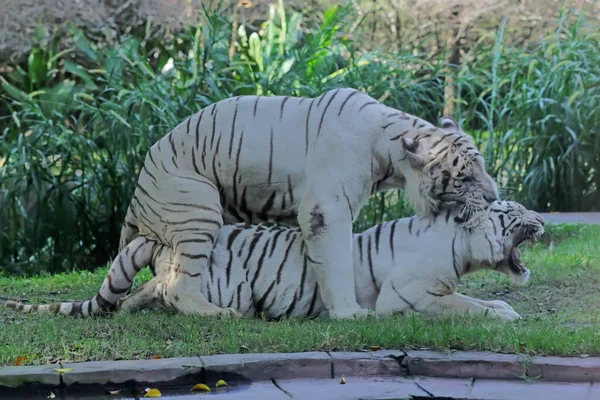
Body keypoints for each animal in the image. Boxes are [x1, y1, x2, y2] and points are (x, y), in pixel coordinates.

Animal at [12, 90, 502, 318]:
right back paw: (220, 314)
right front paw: (348, 313)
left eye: (481, 164)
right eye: (464, 176)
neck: (392, 154)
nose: (496, 195)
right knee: (181, 285)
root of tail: (137, 191)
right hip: (199, 211)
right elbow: (336, 261)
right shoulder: (326, 209)